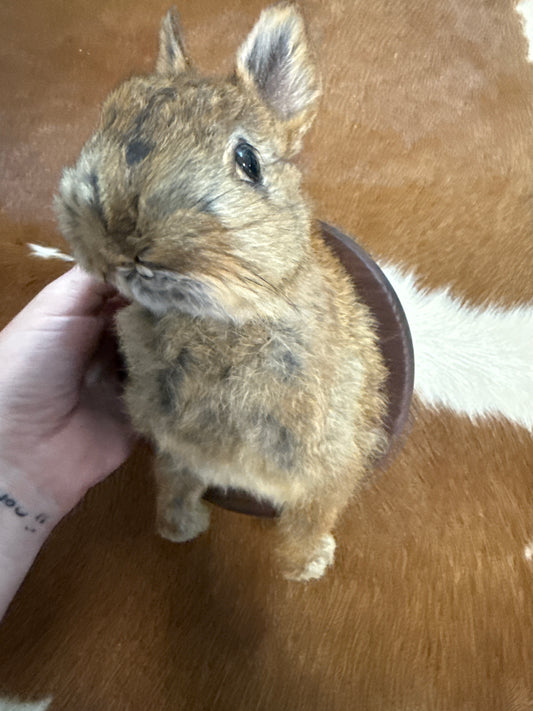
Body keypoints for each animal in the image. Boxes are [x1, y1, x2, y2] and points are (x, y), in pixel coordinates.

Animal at [54, 3, 388, 581]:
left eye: (248, 161)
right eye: (111, 119)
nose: (121, 237)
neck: (220, 320)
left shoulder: (326, 463)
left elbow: (314, 511)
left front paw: (305, 566)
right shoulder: (176, 451)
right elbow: (175, 482)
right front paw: (179, 530)